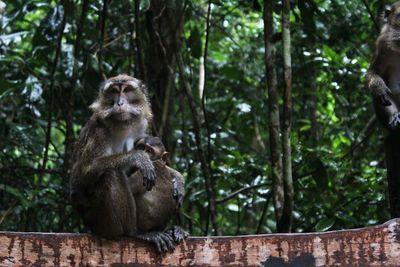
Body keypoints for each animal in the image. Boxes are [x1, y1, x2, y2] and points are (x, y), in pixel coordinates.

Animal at [69, 75, 188, 253]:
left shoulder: (142, 125)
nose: (119, 103)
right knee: (110, 174)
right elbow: (84, 172)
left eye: (126, 90)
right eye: (114, 91)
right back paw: (135, 233)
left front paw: (178, 179)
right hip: (98, 220)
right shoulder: (98, 128)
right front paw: (139, 157)